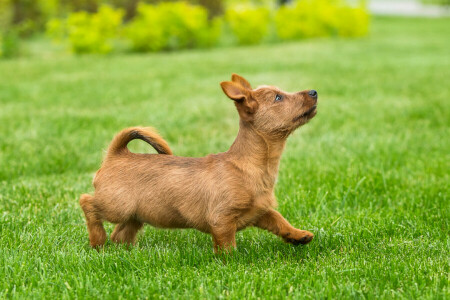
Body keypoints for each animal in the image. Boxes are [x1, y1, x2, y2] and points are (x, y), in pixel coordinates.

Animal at [79, 74, 316, 252]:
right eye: (278, 98)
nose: (314, 92)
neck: (250, 165)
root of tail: (117, 153)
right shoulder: (222, 219)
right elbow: (227, 245)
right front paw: (230, 261)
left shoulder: (259, 211)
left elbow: (278, 219)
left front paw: (297, 235)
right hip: (116, 205)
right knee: (87, 203)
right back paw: (97, 240)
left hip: (135, 214)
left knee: (120, 234)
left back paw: (126, 251)